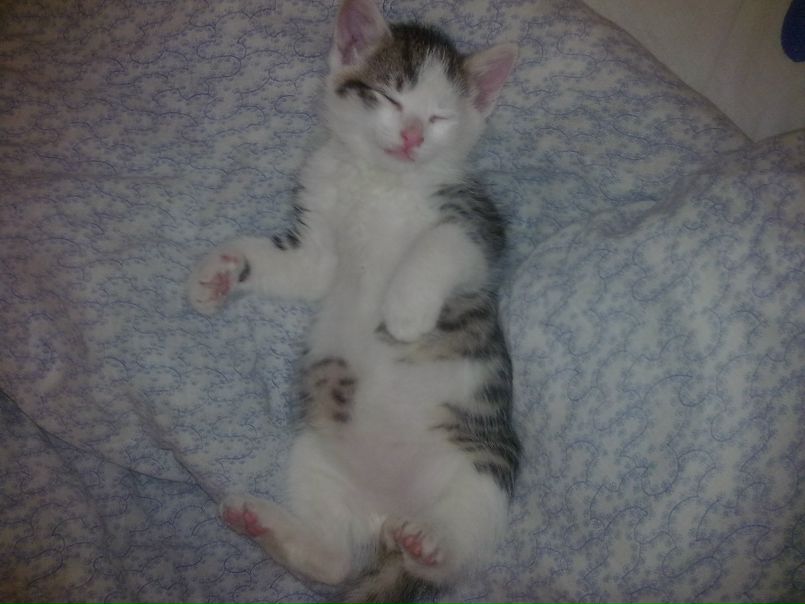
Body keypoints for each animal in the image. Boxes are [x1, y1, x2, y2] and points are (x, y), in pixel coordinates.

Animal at [187, 0, 520, 601]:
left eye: (440, 117)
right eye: (390, 97)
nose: (411, 137)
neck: (380, 180)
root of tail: (385, 519)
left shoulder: (480, 223)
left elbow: (438, 242)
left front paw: (405, 311)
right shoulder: (318, 243)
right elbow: (298, 269)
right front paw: (217, 273)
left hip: (482, 468)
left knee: (451, 553)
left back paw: (430, 542)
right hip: (313, 454)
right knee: (336, 561)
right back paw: (268, 525)